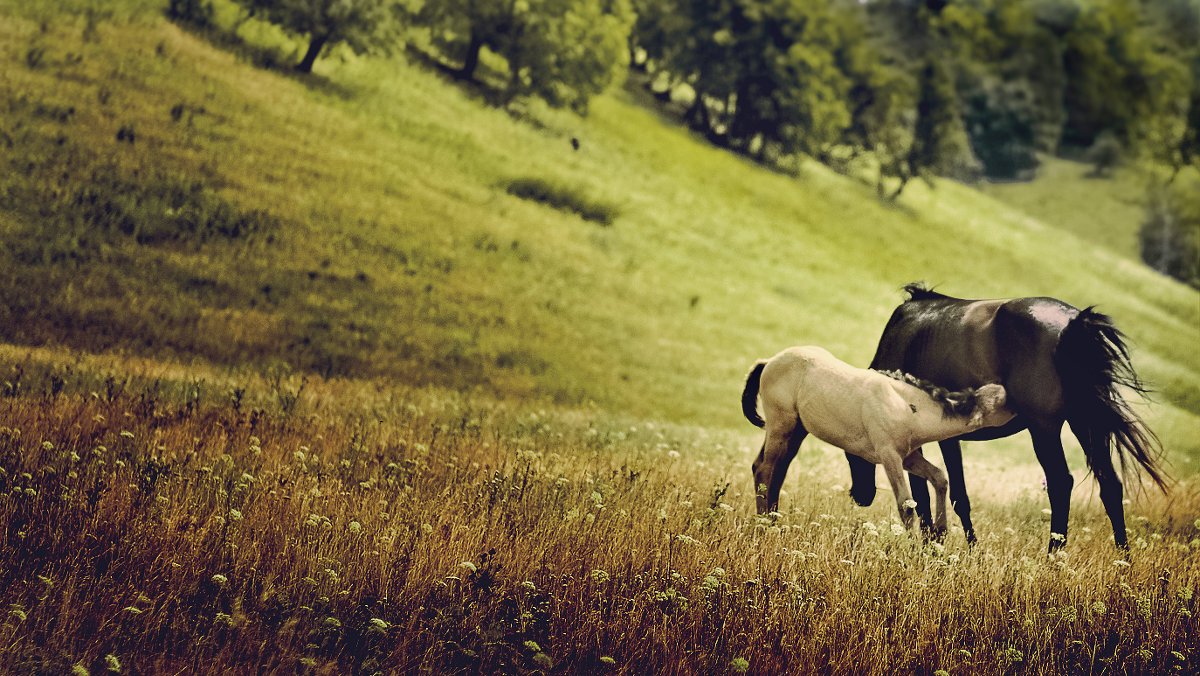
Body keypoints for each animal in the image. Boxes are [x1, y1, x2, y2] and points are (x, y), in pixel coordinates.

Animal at [849, 283, 1166, 552]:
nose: (859, 496)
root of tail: (1074, 323)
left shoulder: (936, 437)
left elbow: (941, 494)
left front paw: (941, 548)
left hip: (1044, 428)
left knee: (1061, 483)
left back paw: (1052, 557)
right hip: (1085, 423)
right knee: (1110, 484)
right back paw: (1123, 557)